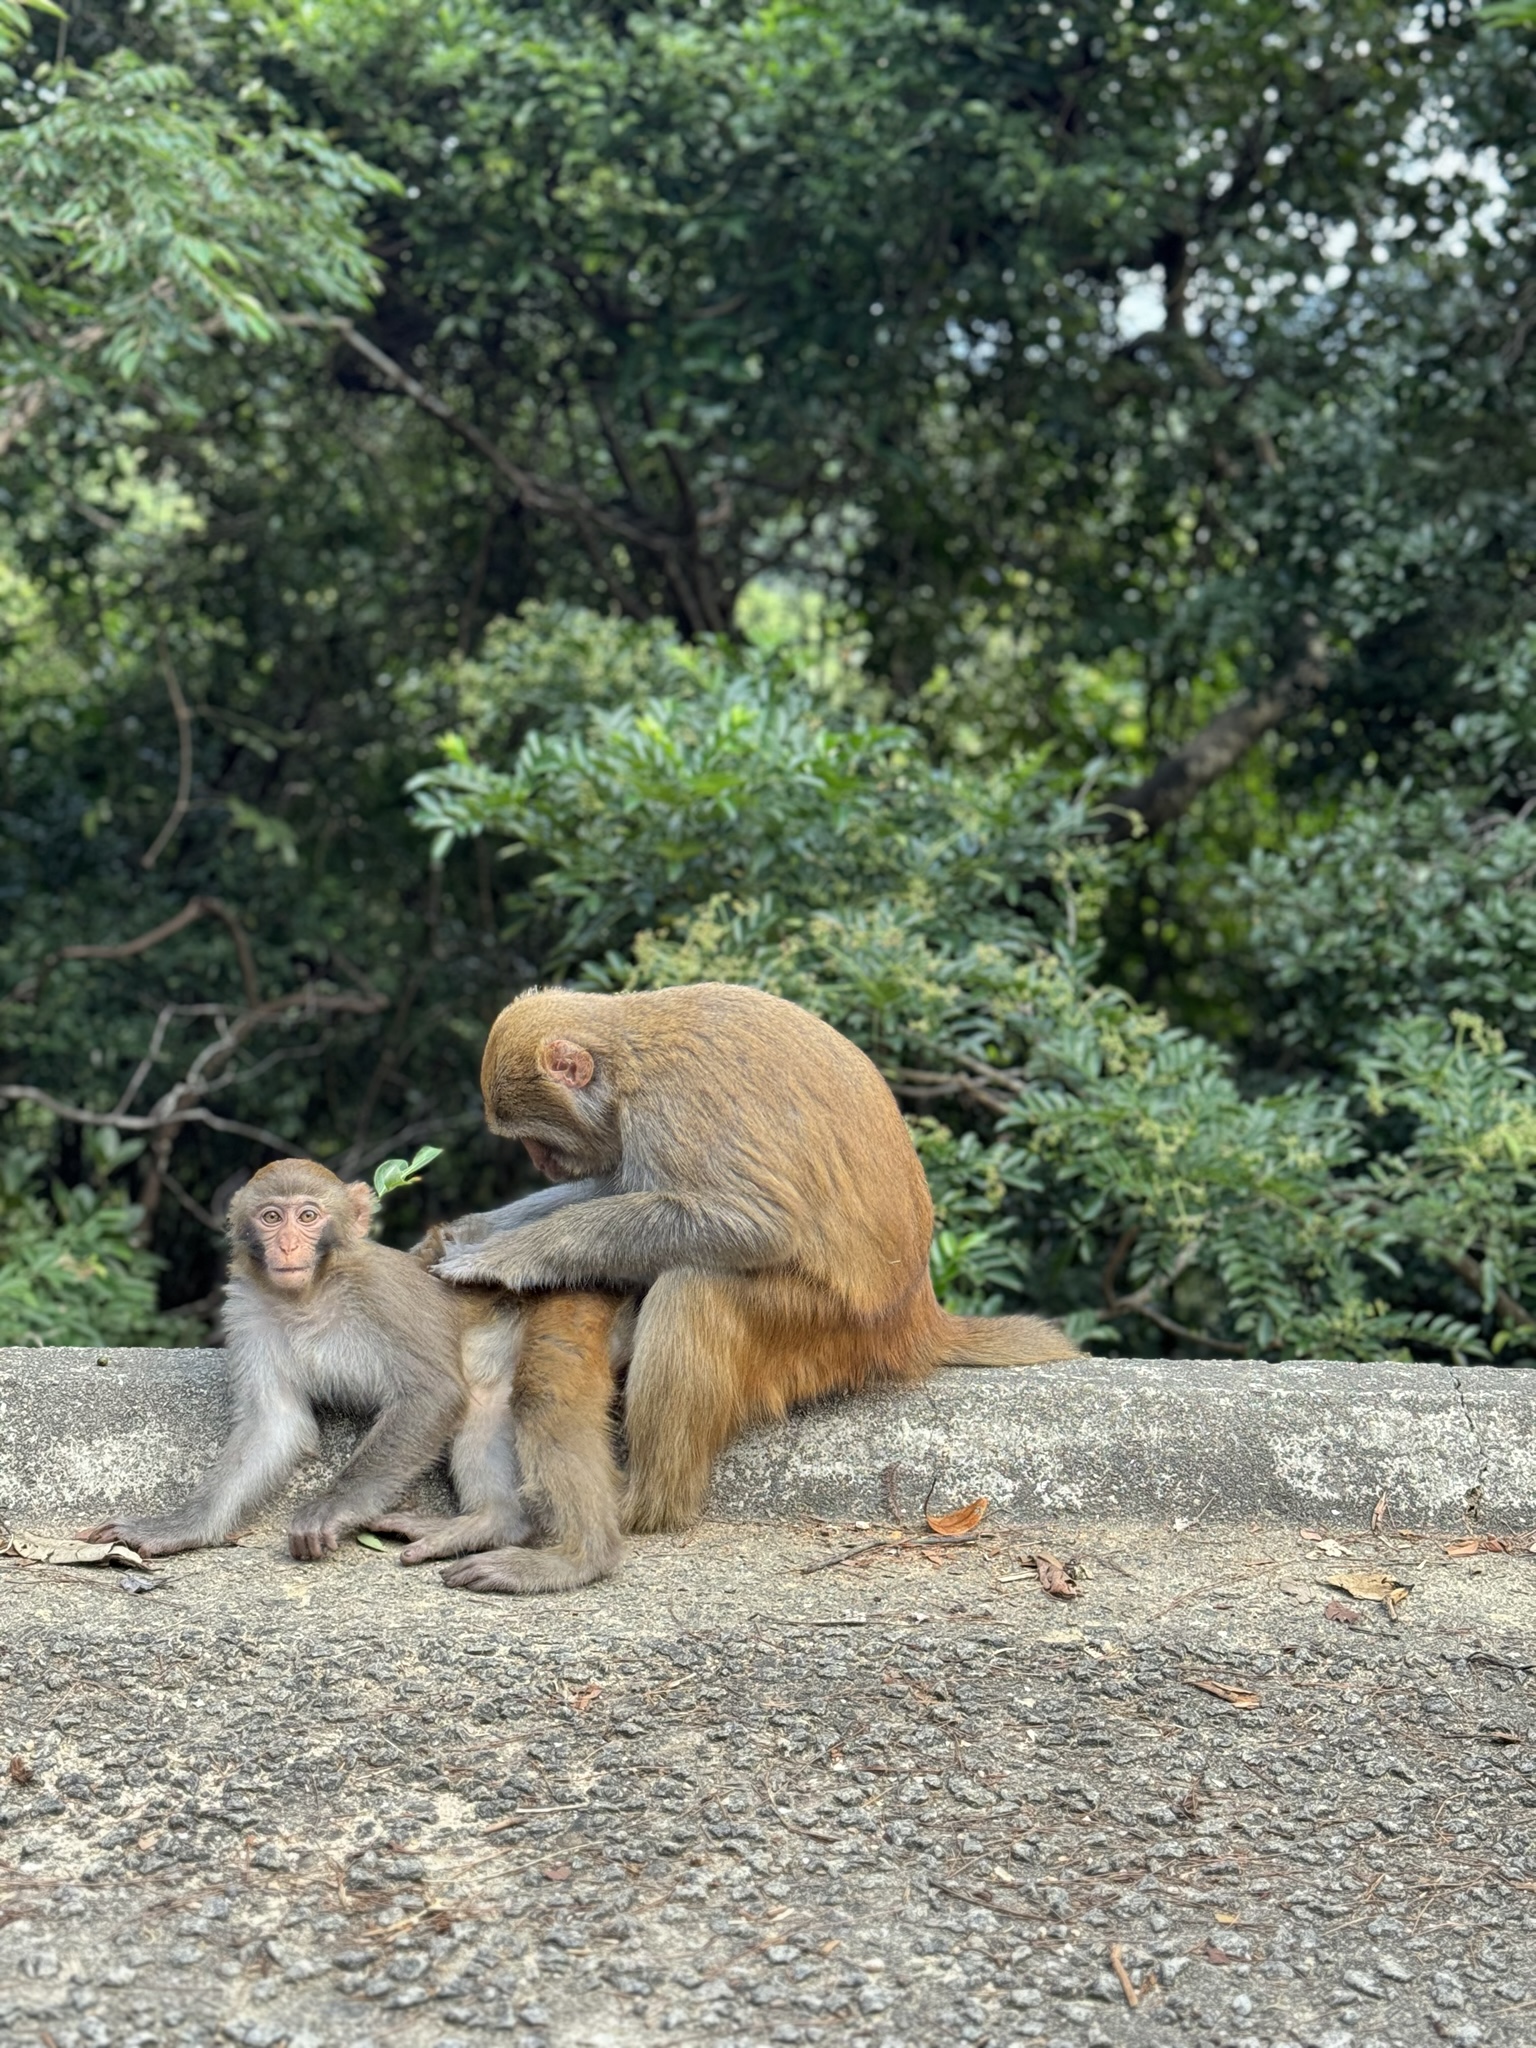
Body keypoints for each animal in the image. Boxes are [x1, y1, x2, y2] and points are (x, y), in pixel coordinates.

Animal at [86, 1158, 621, 1575]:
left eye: (308, 1216)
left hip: (564, 1302)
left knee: (538, 1397)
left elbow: (433, 1394)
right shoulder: (249, 1312)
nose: (287, 1246)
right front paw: (181, 1527)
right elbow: (275, 1424)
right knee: (486, 1408)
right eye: (271, 1217)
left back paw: (574, 1561)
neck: (310, 1295)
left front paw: (331, 1508)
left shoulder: (380, 1290)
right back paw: (491, 1523)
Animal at [428, 981, 1076, 1593]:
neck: (631, 1056)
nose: (540, 1163)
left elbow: (753, 1222)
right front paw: (470, 1230)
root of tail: (917, 1314)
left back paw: (638, 1511)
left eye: (540, 1139)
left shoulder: (671, 1110)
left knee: (695, 1287)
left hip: (823, 1329)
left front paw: (513, 1254)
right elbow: (620, 1184)